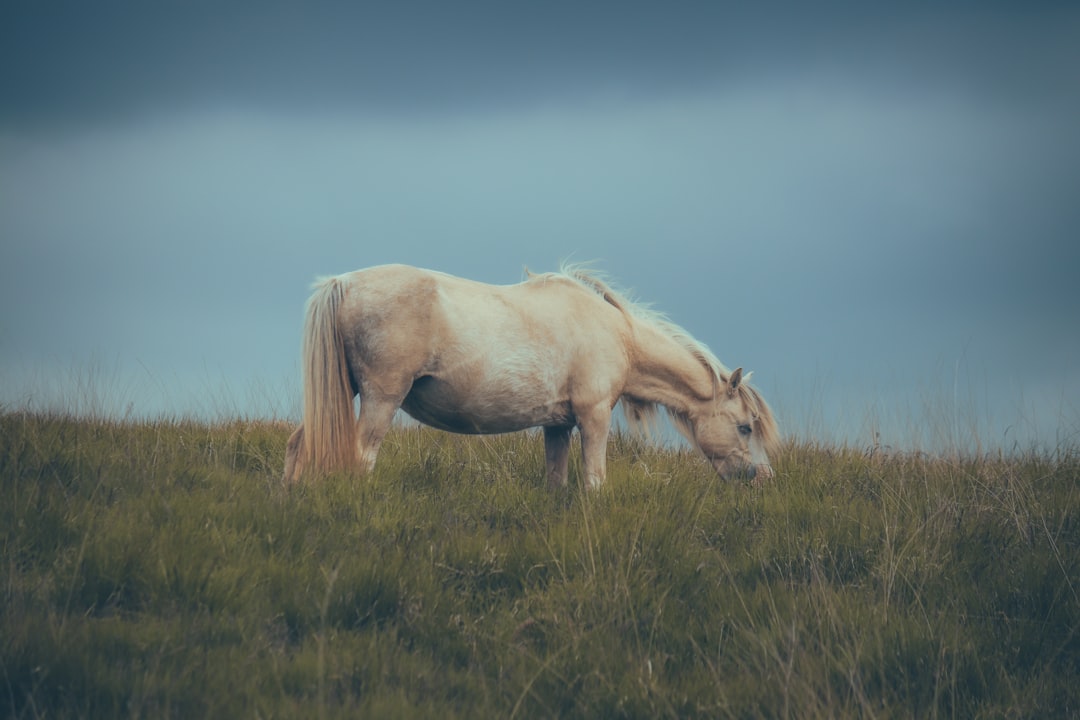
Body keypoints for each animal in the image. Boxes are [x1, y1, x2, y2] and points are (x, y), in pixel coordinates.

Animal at [283, 264, 779, 488]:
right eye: (744, 426)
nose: (757, 476)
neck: (616, 334)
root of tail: (344, 282)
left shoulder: (557, 426)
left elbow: (555, 482)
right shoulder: (593, 417)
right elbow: (594, 480)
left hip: (342, 395)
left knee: (298, 447)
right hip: (381, 400)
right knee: (360, 457)